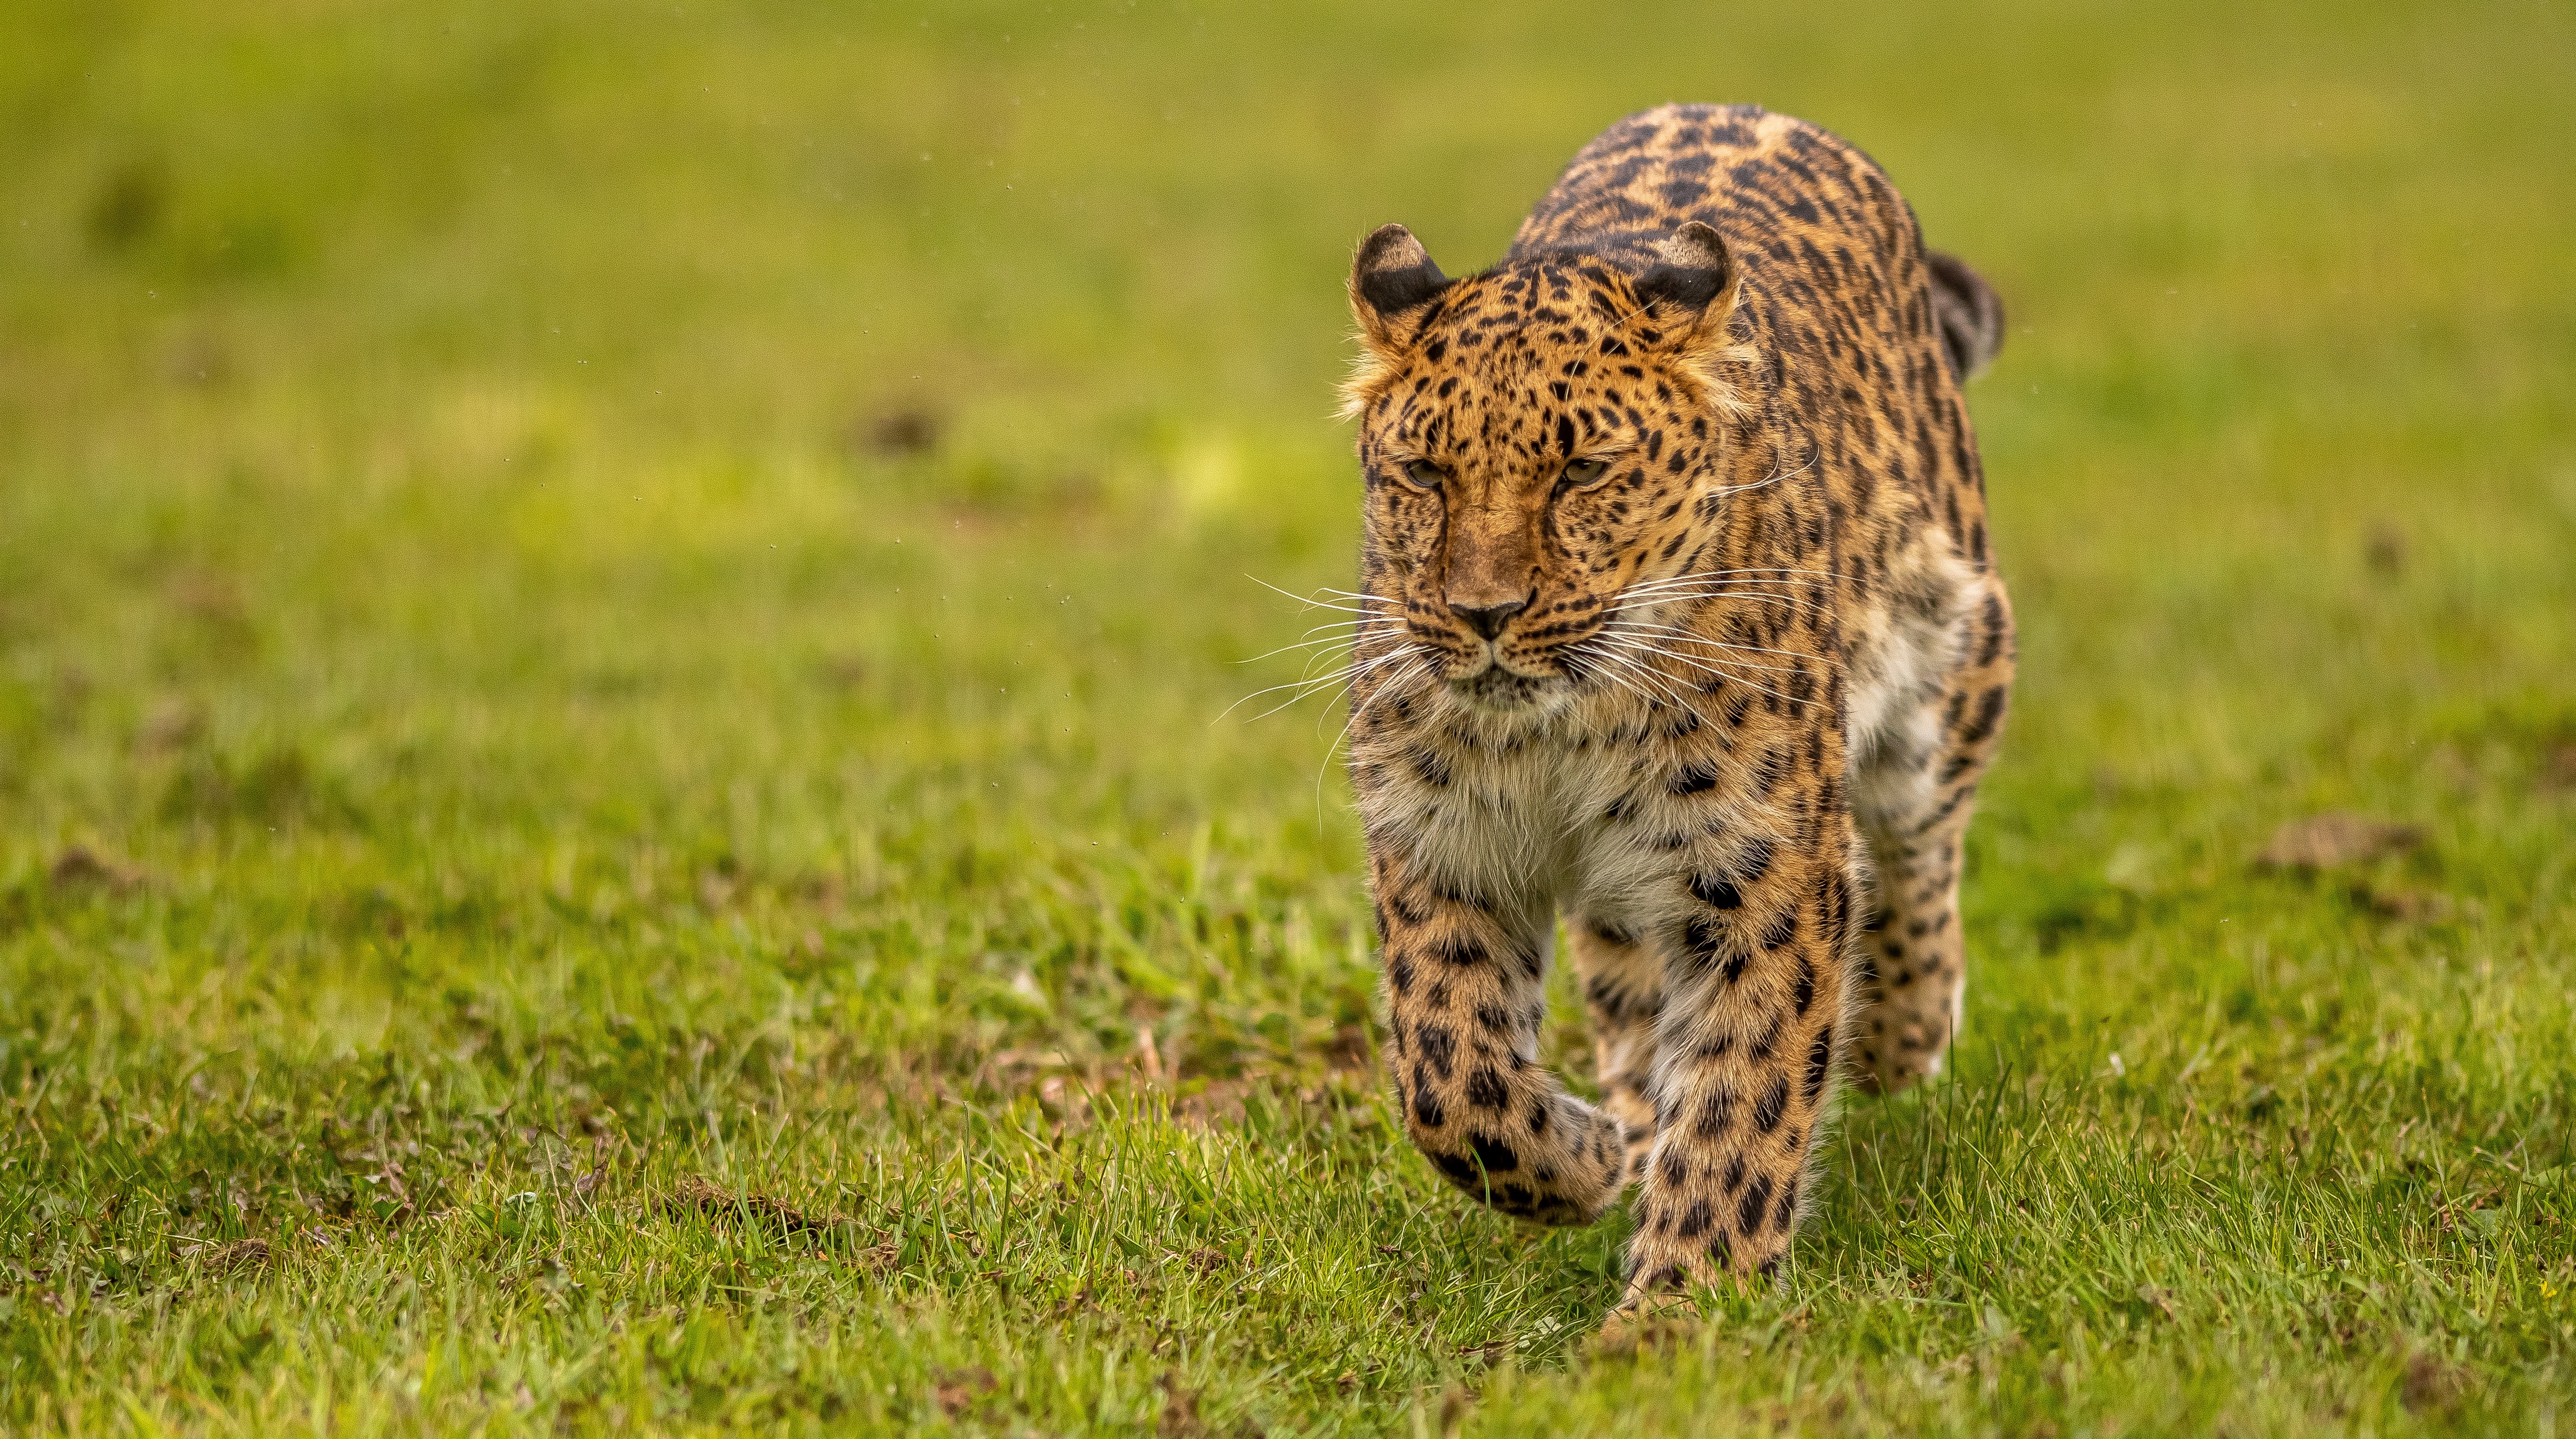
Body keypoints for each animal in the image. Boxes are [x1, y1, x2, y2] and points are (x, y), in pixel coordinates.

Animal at [1339, 104, 2019, 1318]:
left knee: (1919, 847)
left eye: (1581, 472)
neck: (1562, 728)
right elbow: (1449, 1075)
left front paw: (1682, 1309)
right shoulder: (1442, 841)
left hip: (1957, 647)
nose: (1481, 614)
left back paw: (1903, 1029)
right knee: (1627, 986)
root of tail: (1757, 110)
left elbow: (1745, 1096)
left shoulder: (1765, 872)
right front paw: (1582, 1162)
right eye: (1422, 472)